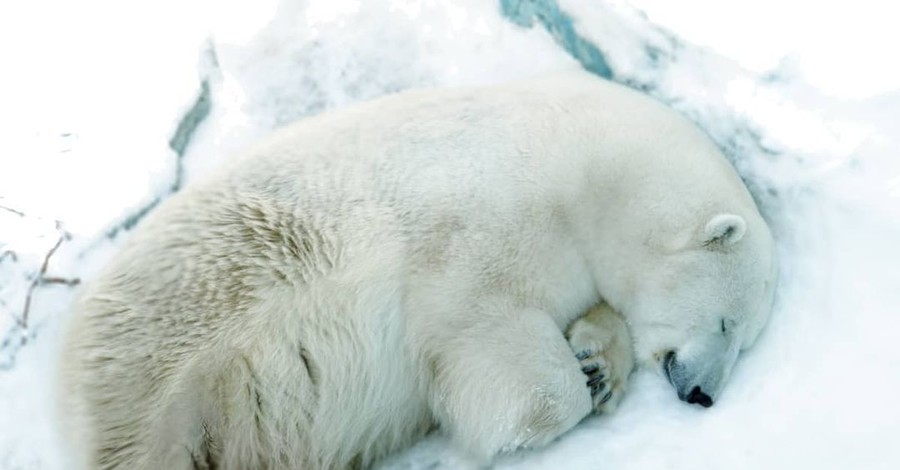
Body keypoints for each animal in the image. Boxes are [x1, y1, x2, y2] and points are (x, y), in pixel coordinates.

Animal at [58, 70, 772, 470]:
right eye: (729, 324)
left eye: (744, 339)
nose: (703, 394)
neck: (588, 164)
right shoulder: (482, 216)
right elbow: (482, 327)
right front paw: (541, 410)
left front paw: (597, 365)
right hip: (176, 340)